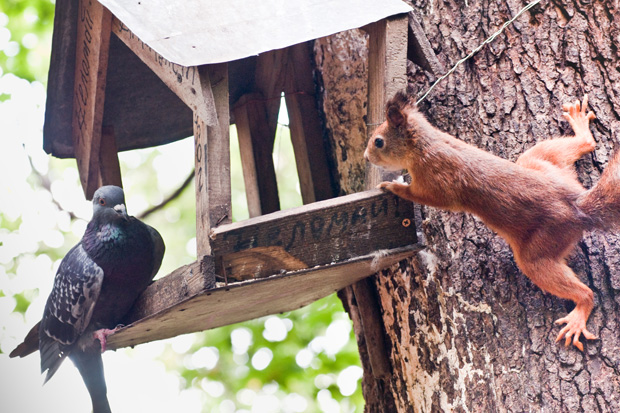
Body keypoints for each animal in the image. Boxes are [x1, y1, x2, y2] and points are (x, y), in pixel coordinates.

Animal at [364, 91, 620, 350]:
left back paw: (579, 313)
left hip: (542, 245)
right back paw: (580, 126)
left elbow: (426, 196)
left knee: (575, 287)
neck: (425, 144)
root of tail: (576, 204)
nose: (366, 157)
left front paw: (393, 187)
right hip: (539, 162)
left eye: (379, 142)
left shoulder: (437, 180)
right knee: (581, 145)